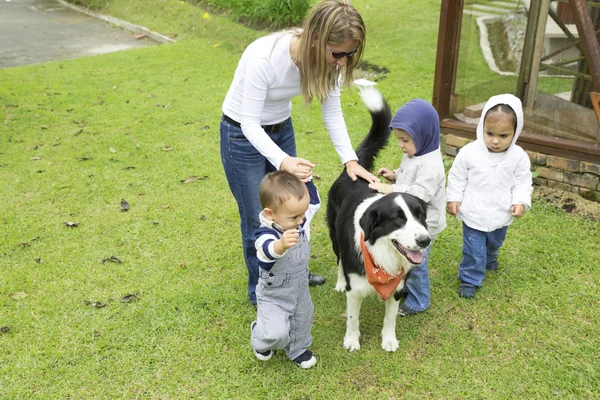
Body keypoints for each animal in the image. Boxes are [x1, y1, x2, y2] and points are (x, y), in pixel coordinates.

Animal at [328, 88, 432, 354]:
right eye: (397, 219)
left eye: (420, 215)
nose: (425, 241)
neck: (382, 257)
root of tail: (353, 169)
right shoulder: (355, 288)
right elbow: (353, 318)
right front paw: (352, 340)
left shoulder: (396, 287)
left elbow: (390, 317)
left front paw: (389, 339)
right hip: (335, 236)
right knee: (340, 259)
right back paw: (339, 281)